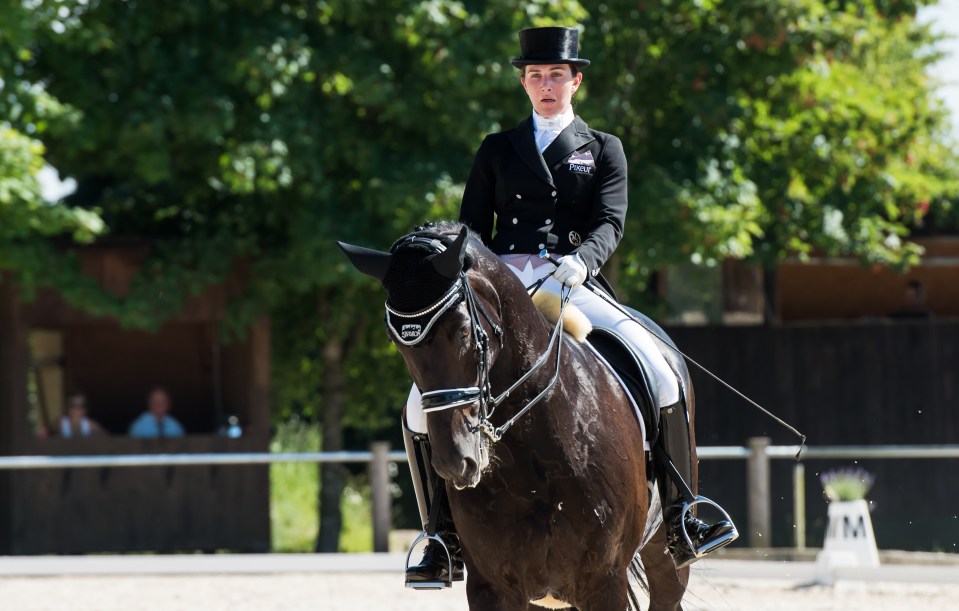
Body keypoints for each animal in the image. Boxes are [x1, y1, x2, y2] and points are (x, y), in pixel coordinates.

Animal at [342, 224, 692, 611]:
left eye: (463, 331)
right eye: (396, 341)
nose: (454, 462)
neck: (535, 451)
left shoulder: (605, 581)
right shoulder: (491, 587)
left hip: (664, 557)